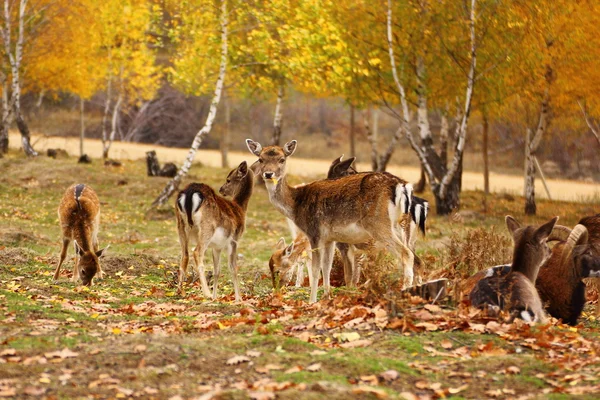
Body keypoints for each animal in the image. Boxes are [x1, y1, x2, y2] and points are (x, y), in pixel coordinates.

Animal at [176, 161, 255, 302]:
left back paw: (180, 291)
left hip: (180, 224)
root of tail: (190, 192)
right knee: (197, 252)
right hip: (207, 227)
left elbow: (216, 271)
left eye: (228, 180)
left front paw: (215, 296)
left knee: (185, 255)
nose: (221, 189)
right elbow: (233, 268)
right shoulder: (234, 240)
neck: (240, 210)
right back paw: (206, 293)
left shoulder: (217, 247)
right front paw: (238, 298)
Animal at [246, 139, 414, 302]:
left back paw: (404, 291)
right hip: (402, 228)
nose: (268, 174)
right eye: (260, 159)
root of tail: (401, 186)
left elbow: (316, 270)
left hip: (378, 224)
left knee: (407, 254)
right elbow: (326, 267)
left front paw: (312, 301)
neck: (296, 205)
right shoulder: (330, 238)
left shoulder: (315, 233)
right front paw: (327, 296)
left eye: (282, 159)